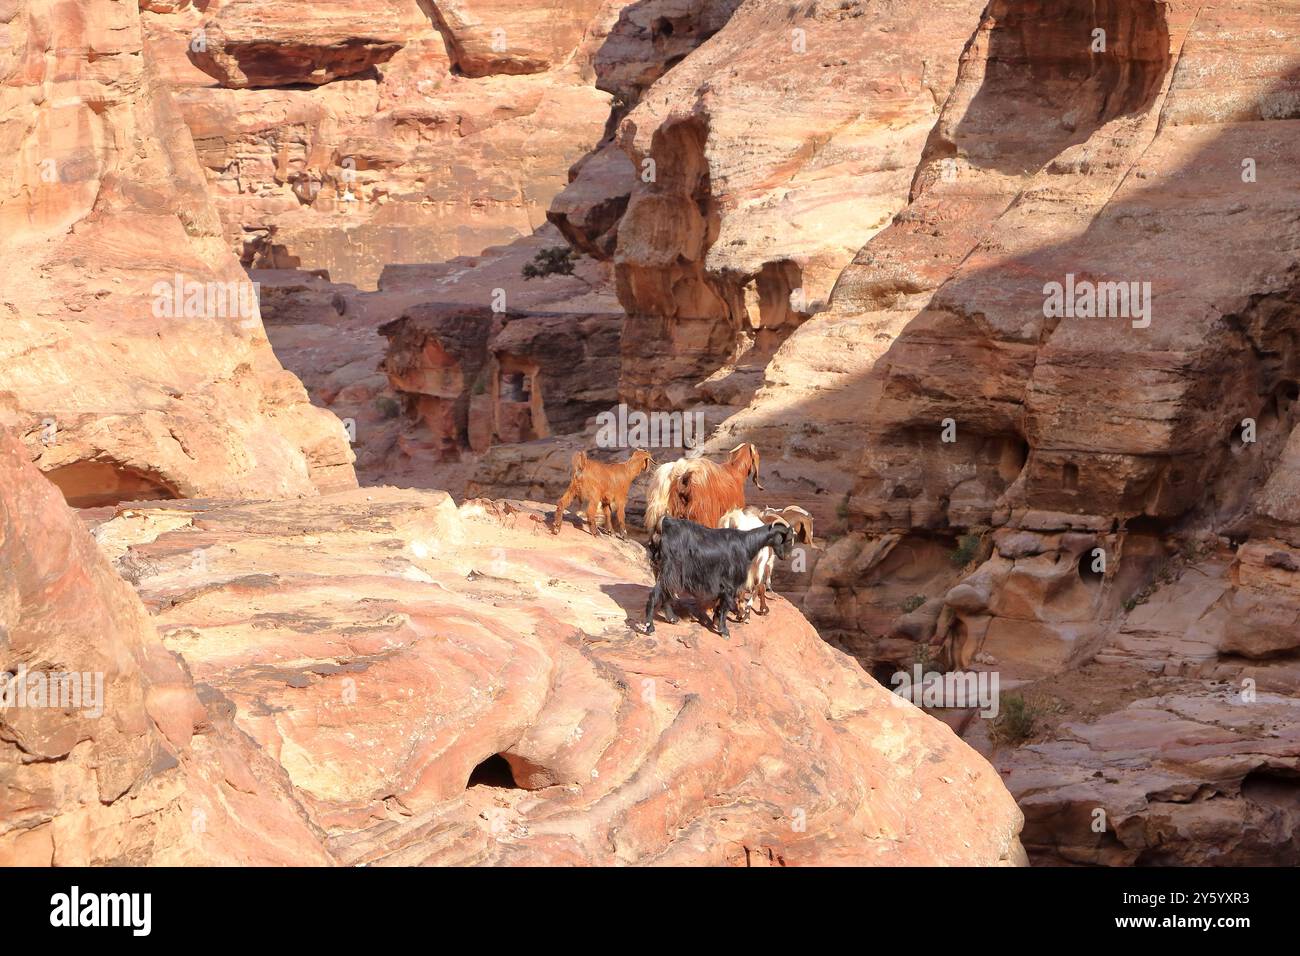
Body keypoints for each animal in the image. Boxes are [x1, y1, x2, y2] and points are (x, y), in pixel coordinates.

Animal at [647, 520, 795, 639]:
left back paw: (672, 618)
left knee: (666, 593)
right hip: (670, 570)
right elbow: (725, 606)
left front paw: (717, 622)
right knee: (654, 595)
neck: (746, 544)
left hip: (668, 573)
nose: (786, 557)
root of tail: (663, 525)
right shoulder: (730, 583)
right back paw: (649, 627)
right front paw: (724, 631)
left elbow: (720, 604)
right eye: (788, 540)